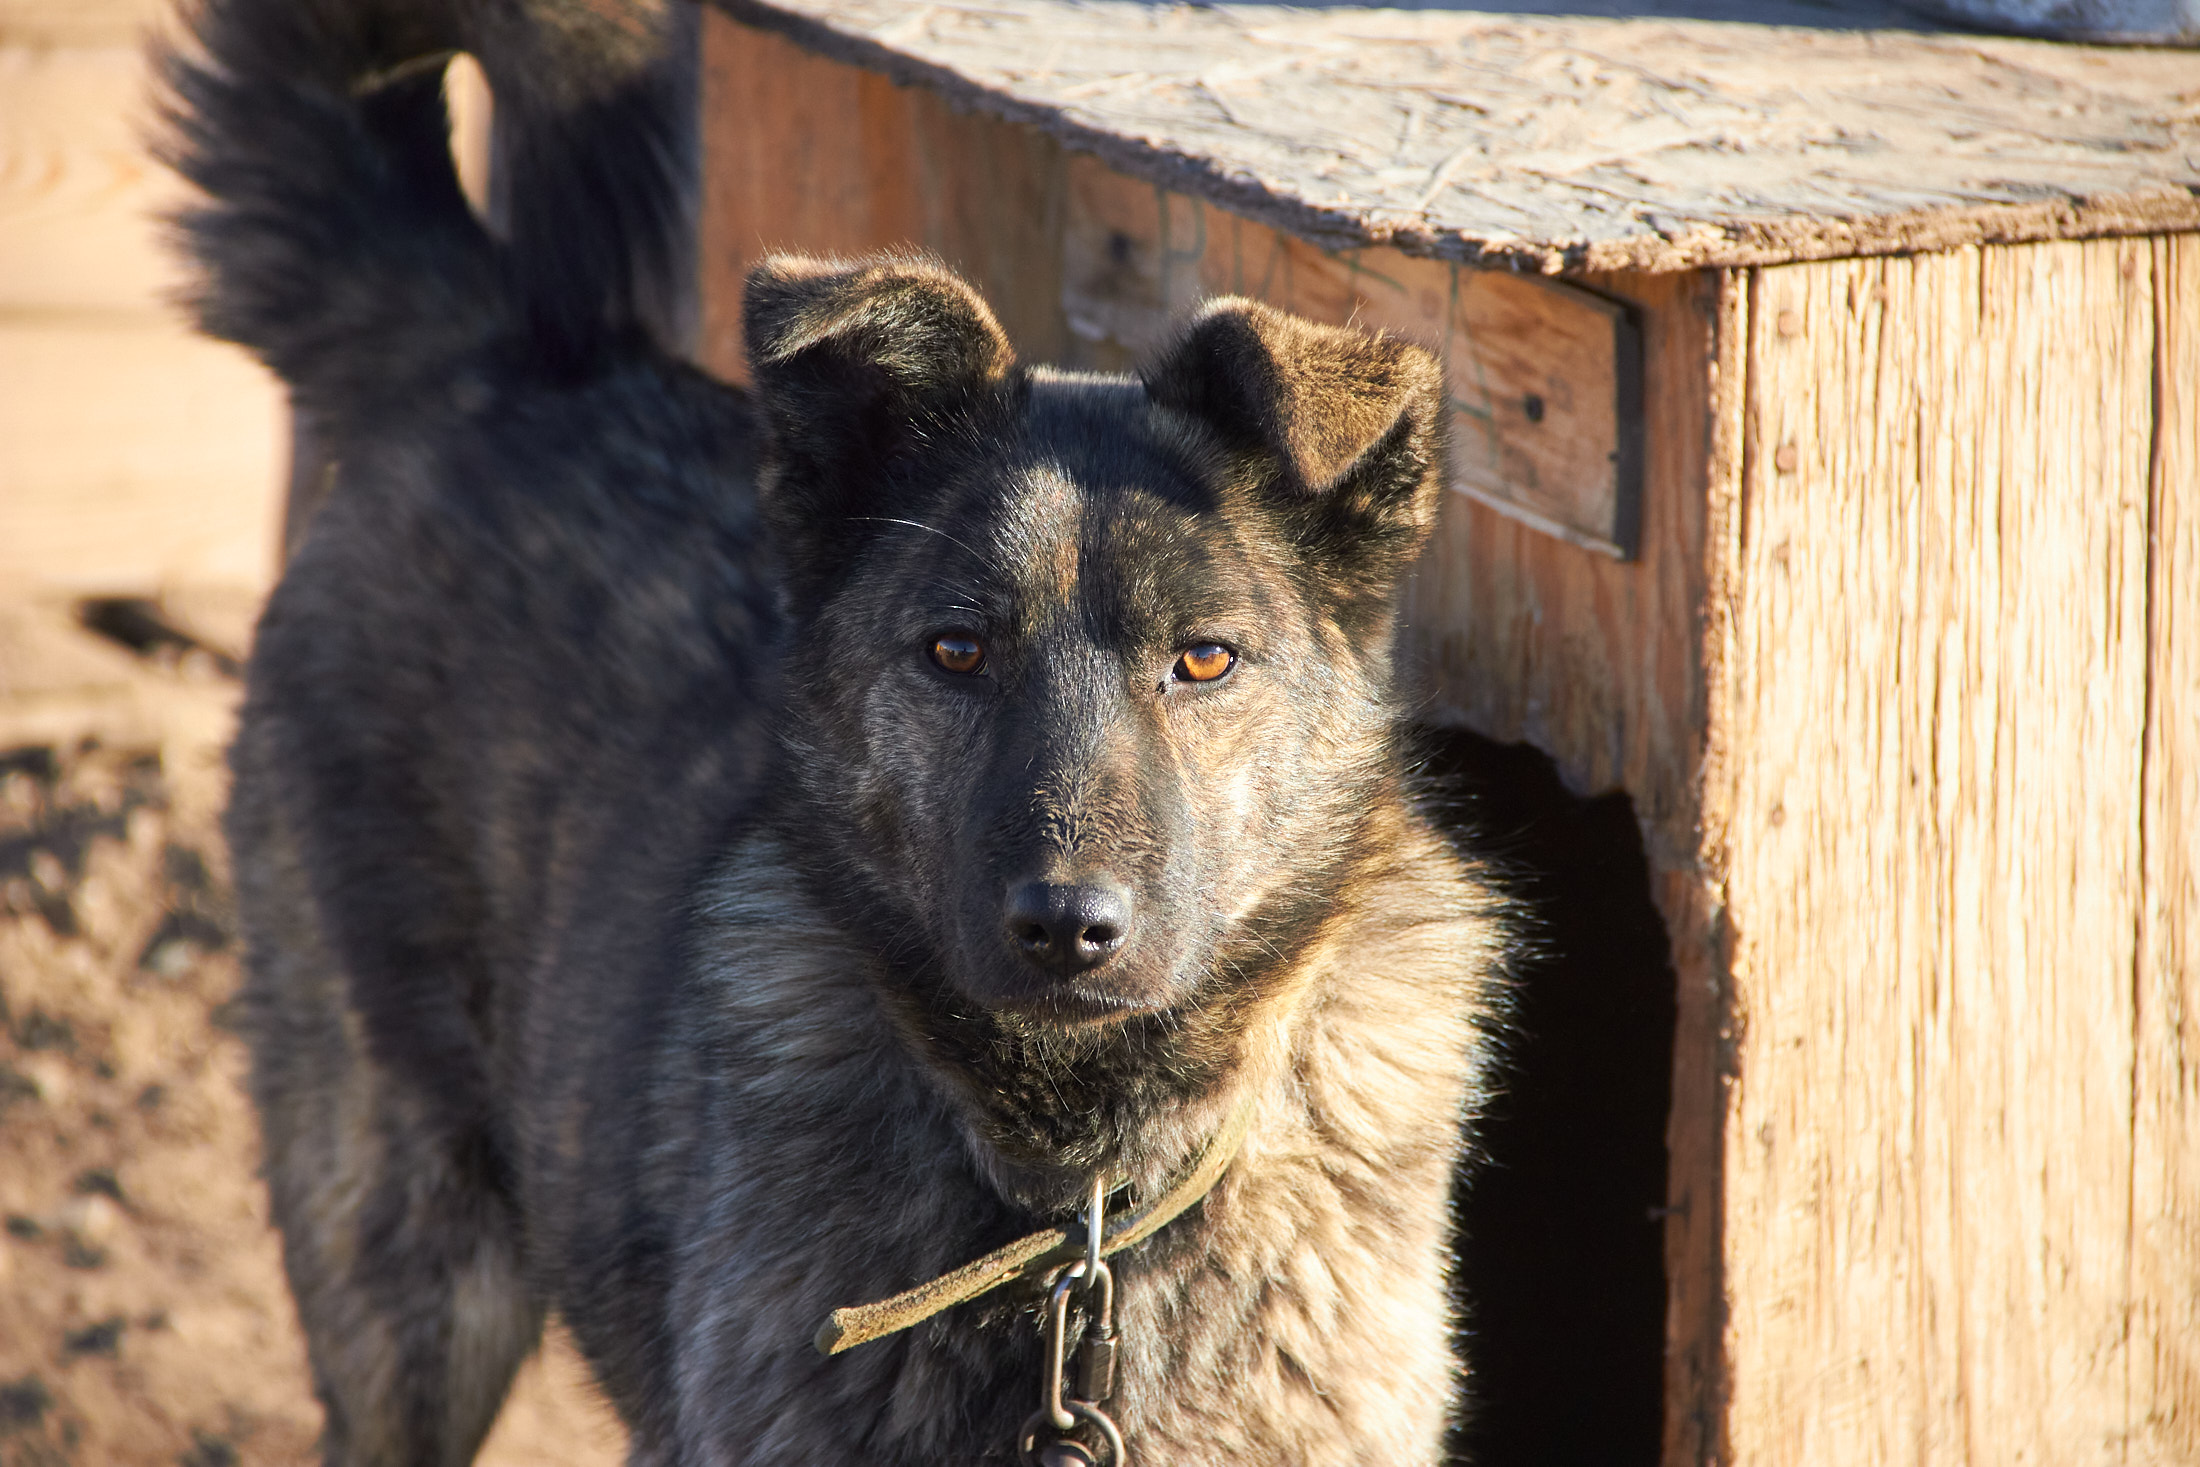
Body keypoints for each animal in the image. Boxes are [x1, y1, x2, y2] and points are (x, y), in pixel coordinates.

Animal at [167, 0, 1513, 1460]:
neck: (1073, 1200)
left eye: (1203, 659)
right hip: (406, 1266)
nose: (1067, 926)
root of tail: (489, 362)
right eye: (956, 649)